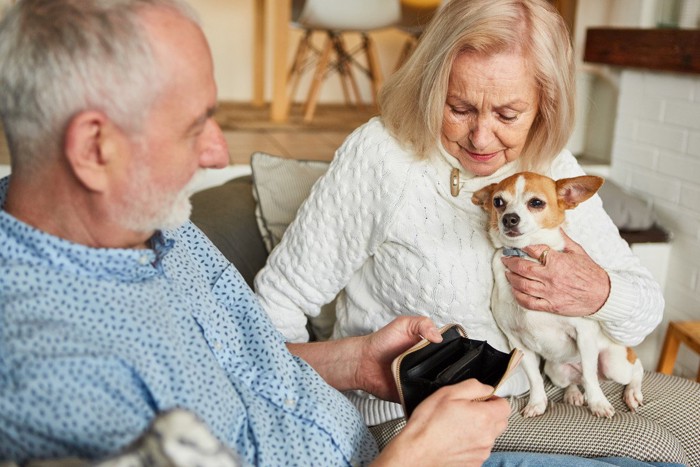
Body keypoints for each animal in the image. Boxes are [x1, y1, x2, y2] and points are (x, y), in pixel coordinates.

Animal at [474, 173, 644, 420]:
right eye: (498, 202)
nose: (509, 218)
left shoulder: (583, 334)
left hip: (615, 364)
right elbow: (535, 379)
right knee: (574, 380)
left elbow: (590, 378)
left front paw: (598, 403)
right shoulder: (518, 345)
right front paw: (537, 403)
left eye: (536, 203)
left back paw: (632, 392)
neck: (525, 254)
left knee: (631, 370)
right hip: (556, 370)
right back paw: (573, 394)